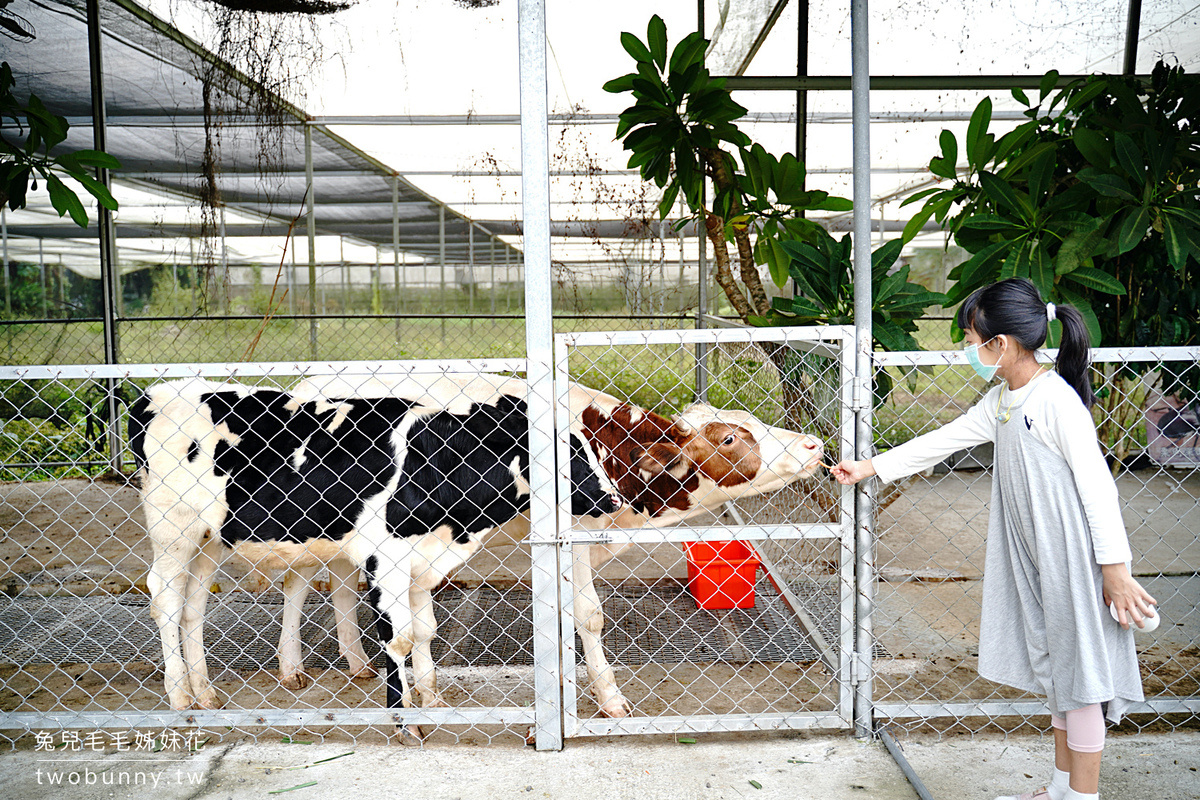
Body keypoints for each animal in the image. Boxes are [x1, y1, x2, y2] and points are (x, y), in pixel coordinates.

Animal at [131, 381, 619, 714]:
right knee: (166, 598)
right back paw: (179, 694)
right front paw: (404, 715)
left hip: (208, 539)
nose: (613, 499)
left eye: (593, 450)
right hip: (173, 531)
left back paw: (205, 693)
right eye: (566, 453)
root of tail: (157, 394)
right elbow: (397, 637)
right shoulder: (384, 558)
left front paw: (431, 700)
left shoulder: (424, 560)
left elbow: (424, 632)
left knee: (193, 608)